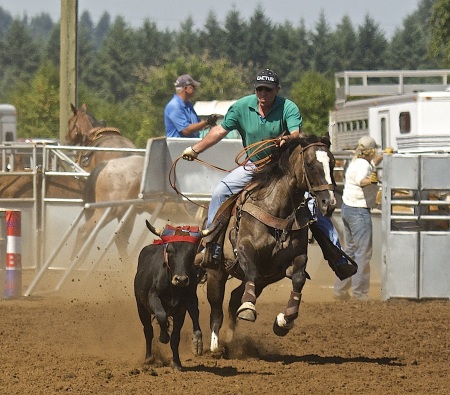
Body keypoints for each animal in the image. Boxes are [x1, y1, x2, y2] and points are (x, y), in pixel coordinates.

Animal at [206, 136, 336, 352]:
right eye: (310, 165)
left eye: (332, 163)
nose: (330, 203)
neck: (277, 210)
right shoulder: (244, 249)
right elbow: (251, 271)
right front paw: (248, 309)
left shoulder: (297, 256)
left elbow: (299, 278)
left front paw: (286, 319)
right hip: (215, 273)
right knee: (216, 308)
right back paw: (215, 345)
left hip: (262, 282)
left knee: (233, 298)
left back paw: (230, 339)